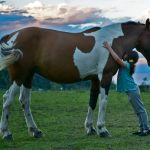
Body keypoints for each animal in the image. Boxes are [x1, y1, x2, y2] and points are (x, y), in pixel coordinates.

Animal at [0, 18, 149, 139]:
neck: (113, 40)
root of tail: (11, 36)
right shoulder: (105, 77)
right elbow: (103, 102)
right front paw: (102, 129)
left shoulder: (95, 79)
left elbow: (92, 102)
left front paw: (90, 128)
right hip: (19, 76)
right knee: (8, 99)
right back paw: (6, 133)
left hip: (28, 76)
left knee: (24, 101)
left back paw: (35, 131)